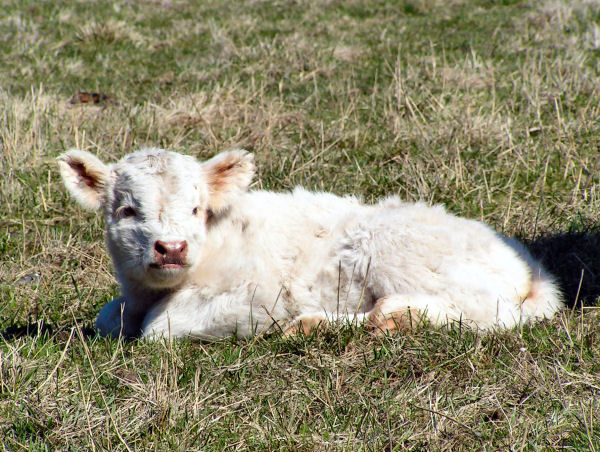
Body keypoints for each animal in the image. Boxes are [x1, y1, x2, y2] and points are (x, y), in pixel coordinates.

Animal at [57, 148, 564, 340]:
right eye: (127, 210)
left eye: (197, 209)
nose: (172, 248)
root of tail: (529, 268)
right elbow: (109, 317)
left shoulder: (256, 299)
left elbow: (159, 329)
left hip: (397, 252)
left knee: (475, 314)